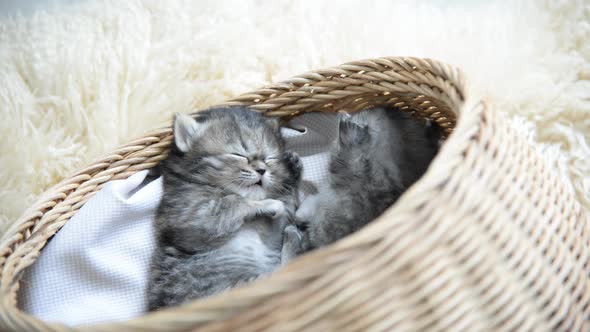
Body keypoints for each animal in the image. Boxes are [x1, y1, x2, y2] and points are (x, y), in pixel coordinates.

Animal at [148, 107, 306, 312]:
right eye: (238, 154)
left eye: (270, 159)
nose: (262, 170)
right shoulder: (190, 217)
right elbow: (235, 201)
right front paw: (267, 203)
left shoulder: (273, 231)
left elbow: (286, 208)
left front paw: (292, 171)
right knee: (283, 274)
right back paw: (293, 240)